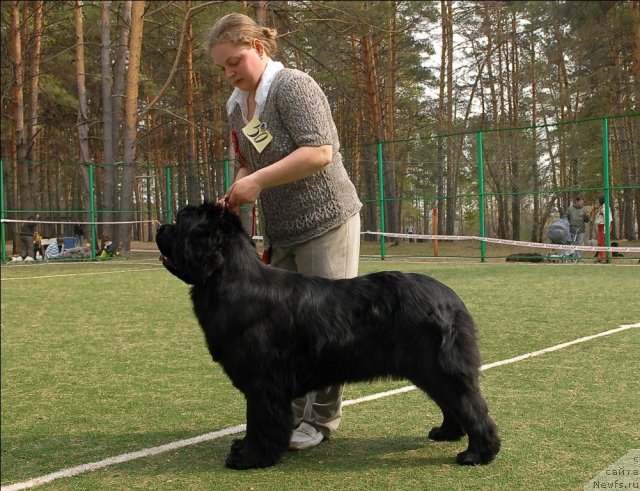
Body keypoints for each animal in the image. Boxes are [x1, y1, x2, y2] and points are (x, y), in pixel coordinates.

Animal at [155, 202, 500, 470]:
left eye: (180, 222)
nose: (160, 227)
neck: (230, 279)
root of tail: (452, 299)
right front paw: (244, 450)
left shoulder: (262, 382)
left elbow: (259, 421)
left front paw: (248, 458)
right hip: (427, 370)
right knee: (452, 404)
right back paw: (446, 433)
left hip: (438, 367)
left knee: (471, 406)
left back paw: (477, 454)